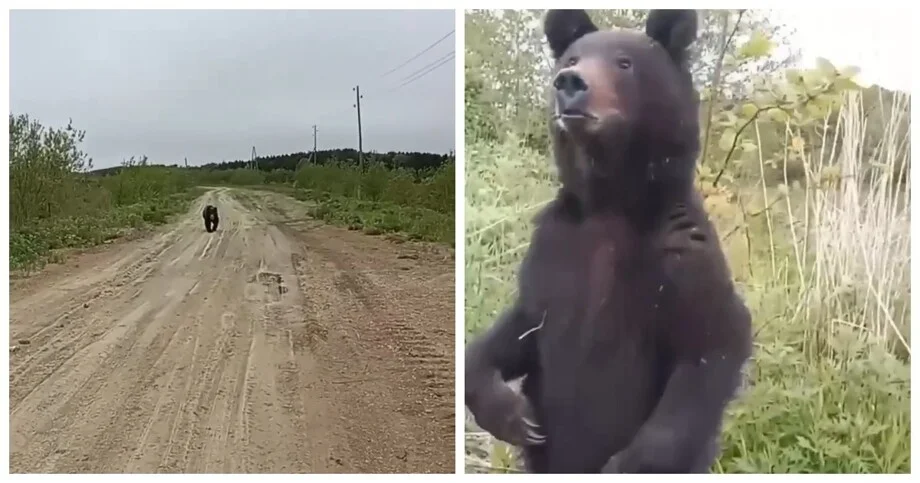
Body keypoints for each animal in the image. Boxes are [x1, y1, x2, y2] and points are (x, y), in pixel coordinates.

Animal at [464, 9, 753, 474]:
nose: (568, 82)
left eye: (624, 62)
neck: (611, 202)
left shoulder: (680, 255)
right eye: (573, 56)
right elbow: (522, 323)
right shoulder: (556, 247)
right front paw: (514, 415)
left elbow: (712, 343)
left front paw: (626, 463)